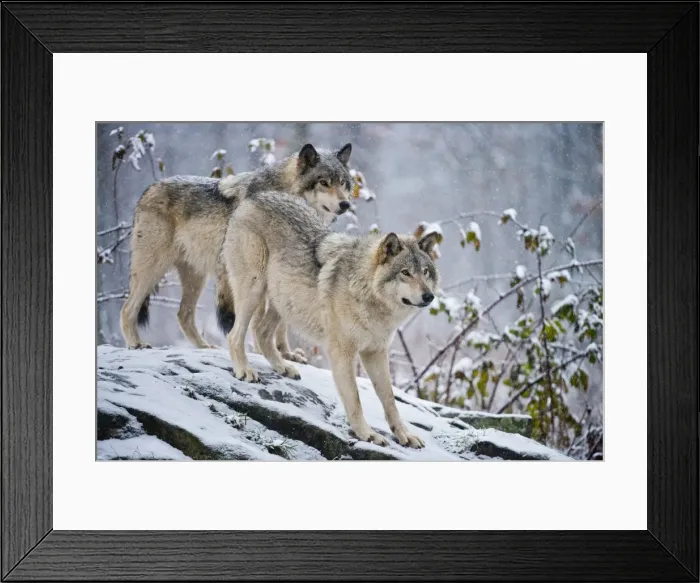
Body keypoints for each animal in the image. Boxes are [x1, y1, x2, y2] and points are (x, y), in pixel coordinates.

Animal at [120, 143, 353, 354]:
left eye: (342, 182)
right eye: (324, 182)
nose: (346, 204)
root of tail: (149, 189)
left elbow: (281, 324)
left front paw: (286, 355)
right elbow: (261, 322)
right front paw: (266, 353)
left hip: (196, 278)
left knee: (183, 314)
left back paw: (205, 347)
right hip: (152, 269)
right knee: (127, 308)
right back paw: (135, 344)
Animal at [222, 192, 440, 448]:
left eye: (425, 272)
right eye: (405, 273)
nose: (429, 296)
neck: (366, 293)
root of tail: (256, 197)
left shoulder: (375, 353)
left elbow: (389, 399)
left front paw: (404, 434)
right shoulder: (342, 353)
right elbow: (355, 399)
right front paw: (367, 434)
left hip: (283, 304)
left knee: (261, 332)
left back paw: (283, 367)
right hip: (253, 292)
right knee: (234, 335)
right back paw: (244, 370)